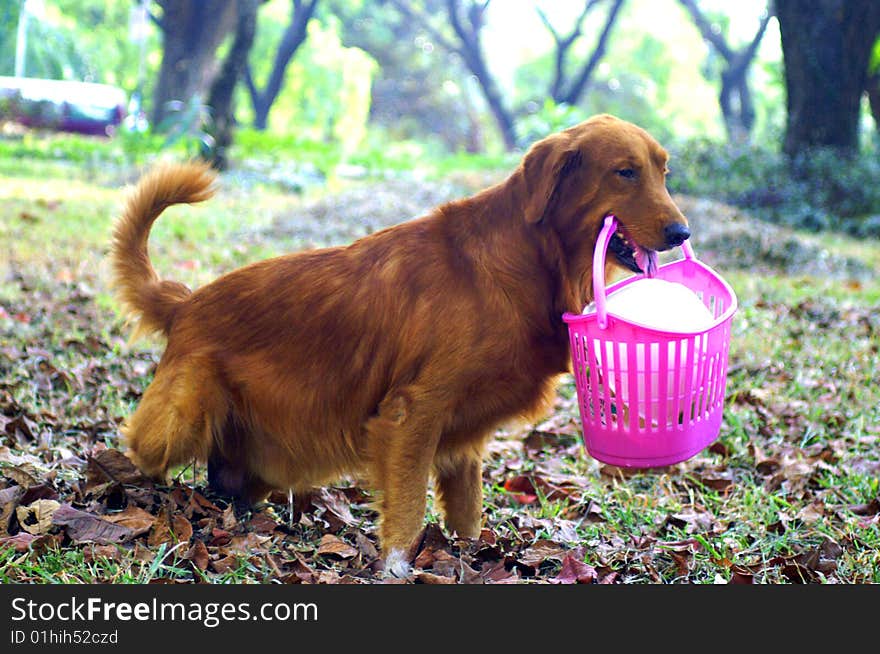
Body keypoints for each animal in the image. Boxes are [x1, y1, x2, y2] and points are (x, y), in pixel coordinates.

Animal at [108, 115, 688, 576]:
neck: (526, 259)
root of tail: (185, 302)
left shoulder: (463, 441)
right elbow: (407, 508)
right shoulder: (413, 414)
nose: (682, 233)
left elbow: (467, 515)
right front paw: (396, 568)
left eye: (664, 172)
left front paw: (466, 556)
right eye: (625, 171)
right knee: (139, 446)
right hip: (182, 417)